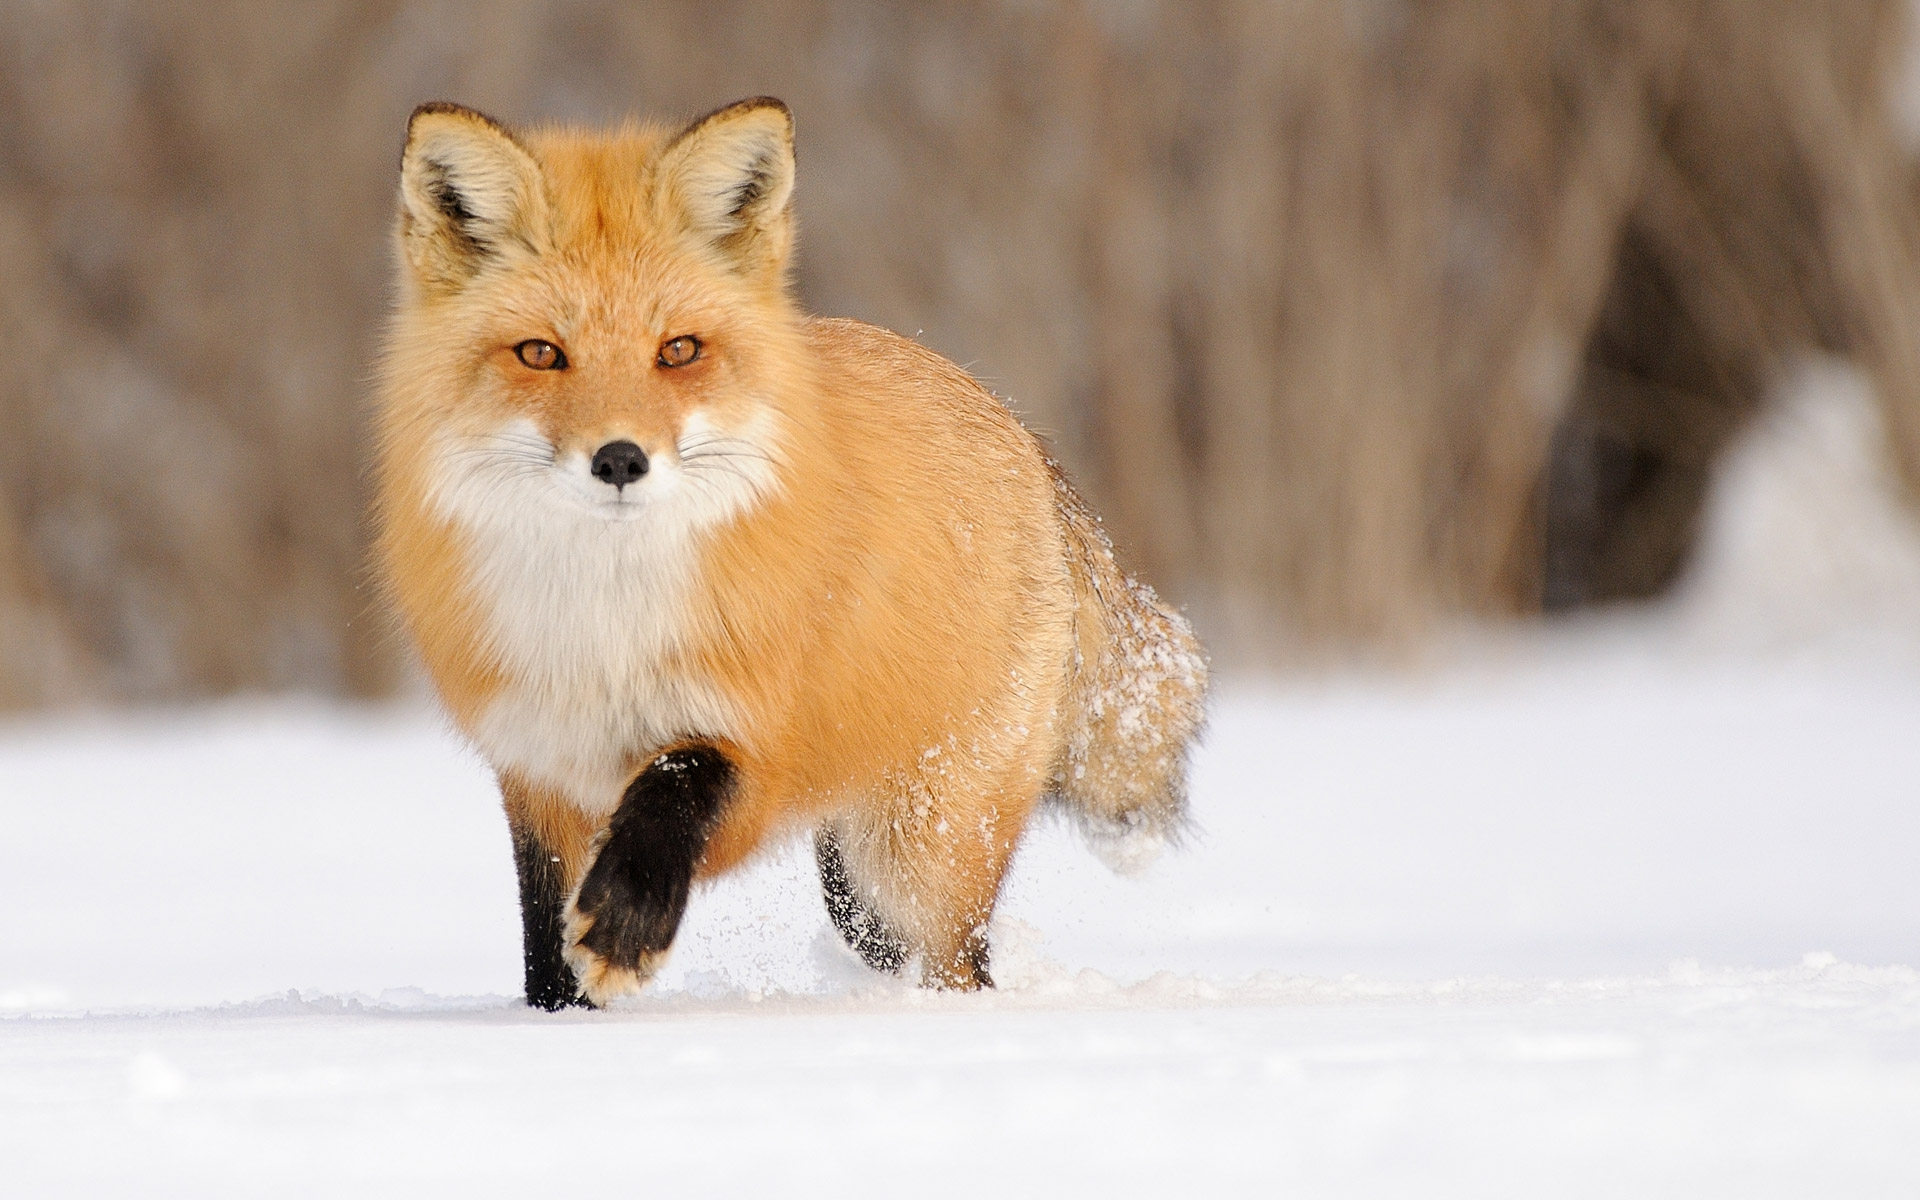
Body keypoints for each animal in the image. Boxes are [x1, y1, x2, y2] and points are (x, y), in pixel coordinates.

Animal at [370, 98, 1198, 1006]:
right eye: (541, 354)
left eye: (679, 351)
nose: (620, 460)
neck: (606, 631)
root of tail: (1019, 432)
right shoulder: (538, 771)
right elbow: (545, 953)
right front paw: (559, 1018)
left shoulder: (756, 744)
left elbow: (674, 783)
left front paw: (626, 924)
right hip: (860, 887)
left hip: (919, 856)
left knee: (962, 963)